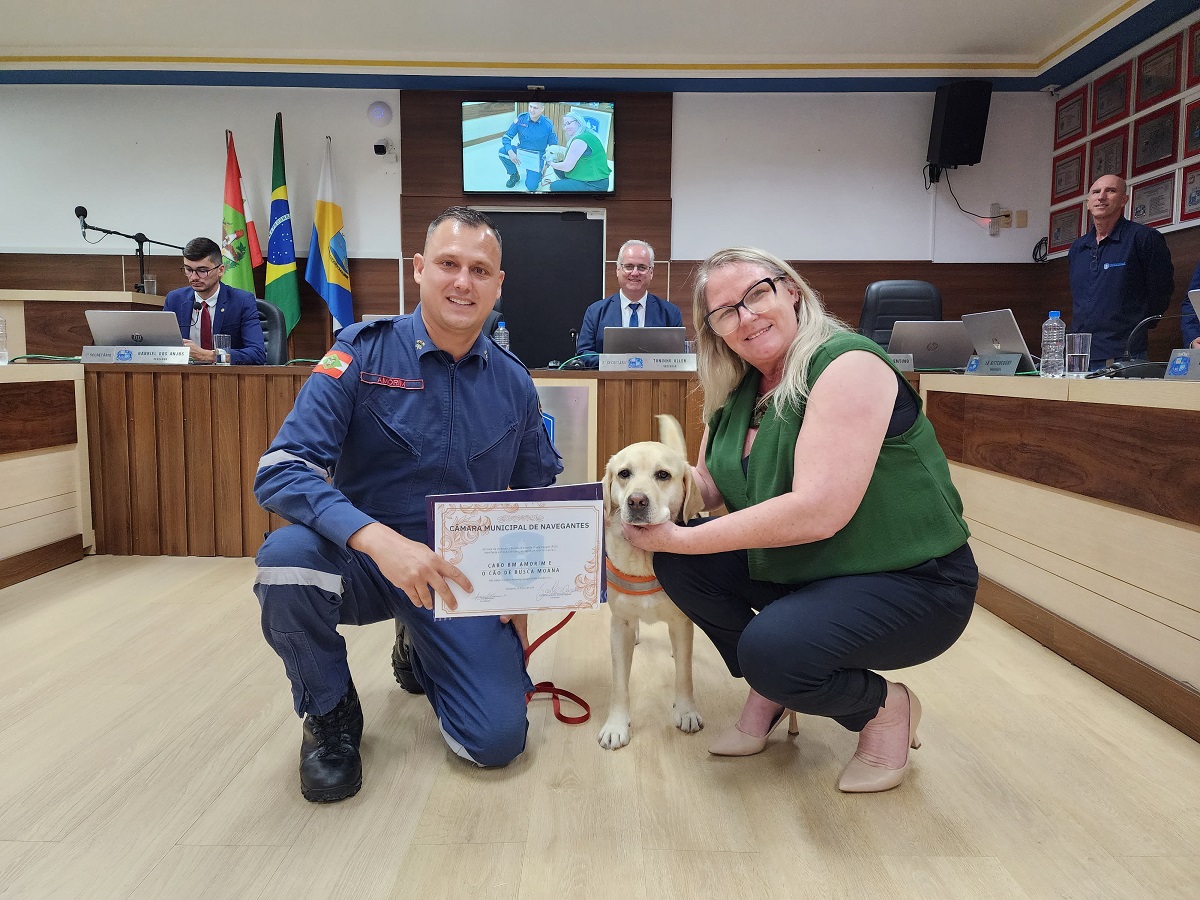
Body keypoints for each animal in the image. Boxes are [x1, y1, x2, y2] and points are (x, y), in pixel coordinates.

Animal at [597, 417, 700, 753]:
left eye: (663, 475)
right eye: (624, 474)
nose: (636, 501)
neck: (644, 558)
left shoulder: (680, 623)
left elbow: (685, 675)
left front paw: (686, 711)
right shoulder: (620, 624)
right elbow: (619, 685)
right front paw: (616, 726)